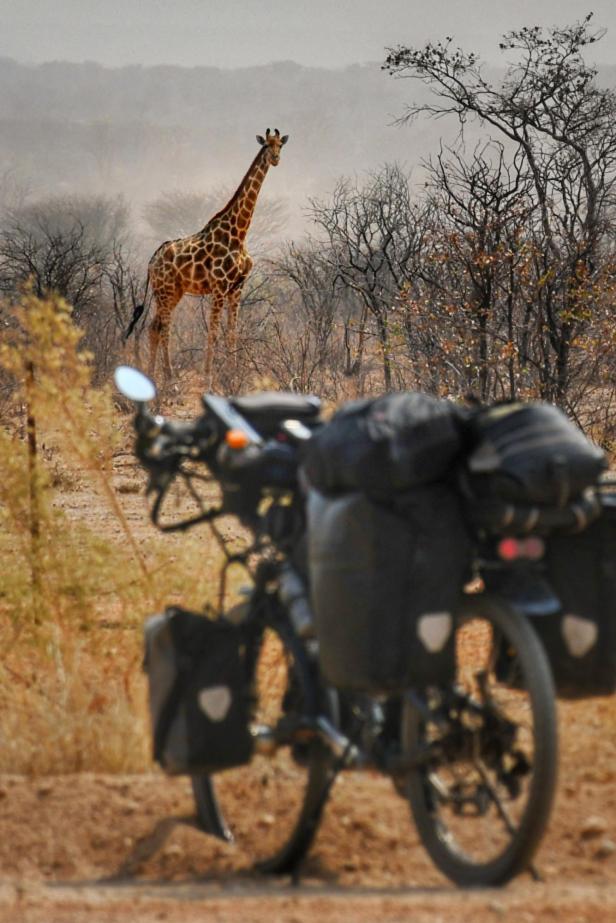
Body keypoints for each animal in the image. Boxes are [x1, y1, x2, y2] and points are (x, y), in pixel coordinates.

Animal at [126, 129, 290, 382]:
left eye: (280, 145)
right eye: (266, 146)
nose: (275, 159)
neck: (239, 232)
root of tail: (151, 262)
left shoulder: (237, 287)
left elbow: (232, 332)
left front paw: (233, 375)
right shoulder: (220, 287)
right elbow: (212, 332)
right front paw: (208, 376)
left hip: (172, 291)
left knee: (154, 327)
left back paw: (153, 375)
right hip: (165, 290)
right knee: (164, 327)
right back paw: (169, 377)